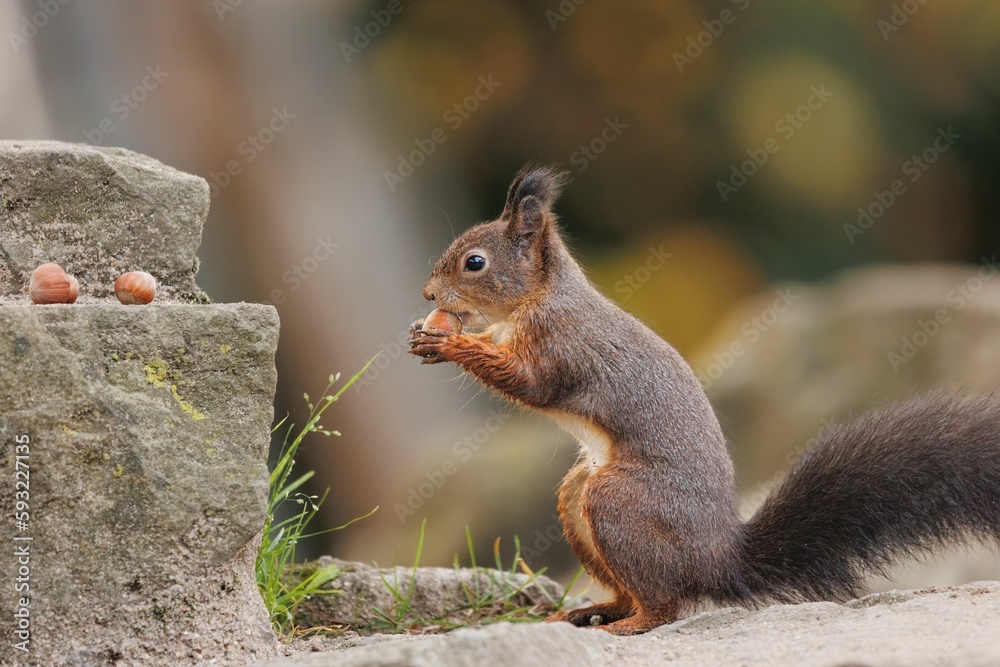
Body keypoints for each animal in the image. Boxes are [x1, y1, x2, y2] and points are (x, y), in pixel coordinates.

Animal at [406, 167, 1000, 636]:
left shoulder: (562, 346)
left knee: (666, 604)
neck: (539, 299)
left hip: (617, 500)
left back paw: (628, 625)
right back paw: (591, 612)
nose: (428, 296)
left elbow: (530, 384)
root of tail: (715, 557)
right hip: (578, 497)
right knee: (630, 589)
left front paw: (449, 343)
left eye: (475, 263)